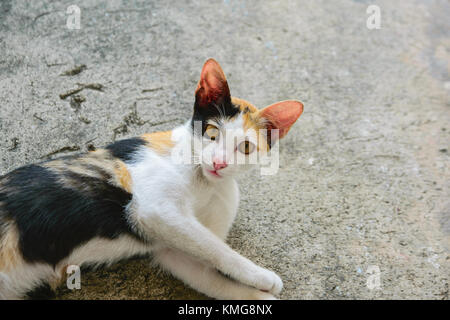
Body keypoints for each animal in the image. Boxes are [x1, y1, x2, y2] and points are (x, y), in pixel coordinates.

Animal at [0, 58, 304, 300]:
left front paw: (259, 292)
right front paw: (264, 276)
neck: (207, 184)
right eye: (212, 132)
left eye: (246, 147)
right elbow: (216, 248)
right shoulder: (153, 211)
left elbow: (210, 275)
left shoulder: (172, 250)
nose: (219, 163)